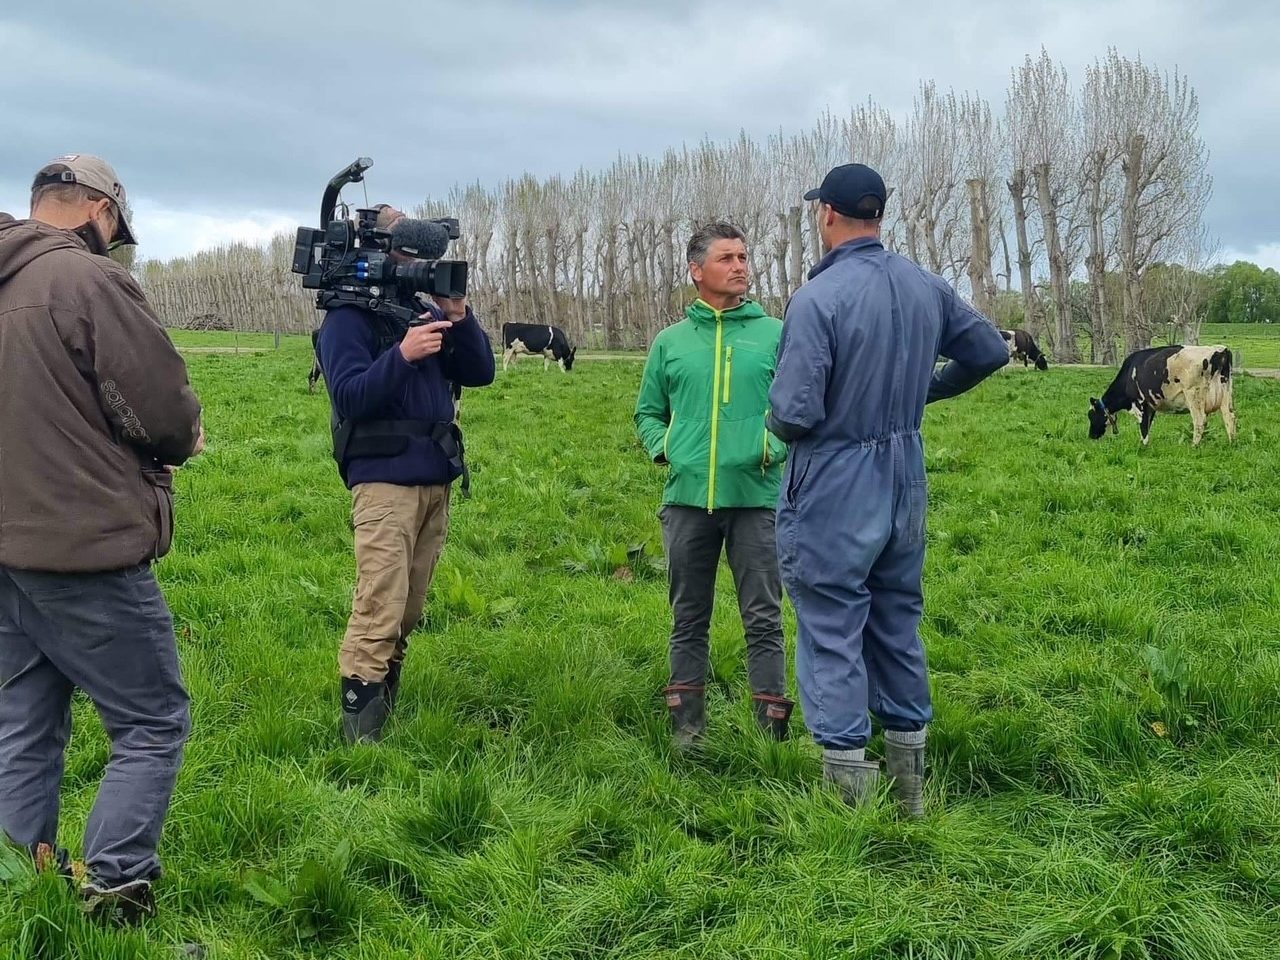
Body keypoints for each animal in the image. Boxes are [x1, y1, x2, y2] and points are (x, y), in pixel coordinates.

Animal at [1085, 345, 1233, 448]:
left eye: (1091, 416)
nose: (1091, 436)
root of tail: (1220, 350)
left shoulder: (1140, 404)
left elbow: (1143, 427)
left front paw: (1143, 446)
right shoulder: (1151, 407)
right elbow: (1148, 425)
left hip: (1194, 395)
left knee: (1200, 421)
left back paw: (1194, 446)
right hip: (1226, 394)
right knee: (1230, 417)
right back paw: (1233, 442)